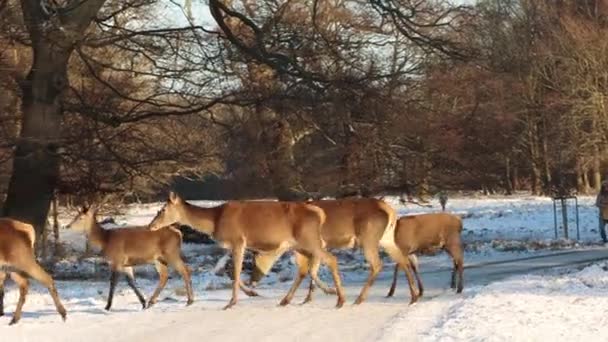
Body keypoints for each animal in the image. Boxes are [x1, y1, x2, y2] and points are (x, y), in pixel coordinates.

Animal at [148, 192, 346, 310]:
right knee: (306, 269)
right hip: (300, 246)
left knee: (331, 260)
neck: (214, 221)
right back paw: (290, 299)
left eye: (163, 209)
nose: (151, 226)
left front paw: (231, 302)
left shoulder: (238, 240)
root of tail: (320, 214)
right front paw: (251, 293)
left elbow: (235, 271)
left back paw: (340, 299)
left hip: (309, 239)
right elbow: (230, 271)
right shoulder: (237, 245)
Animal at [252, 198, 400, 304]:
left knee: (377, 264)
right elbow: (307, 272)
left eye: (256, 261)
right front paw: (305, 299)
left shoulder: (316, 246)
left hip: (369, 238)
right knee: (401, 259)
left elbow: (307, 271)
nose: (251, 281)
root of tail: (390, 210)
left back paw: (359, 299)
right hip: (386, 238)